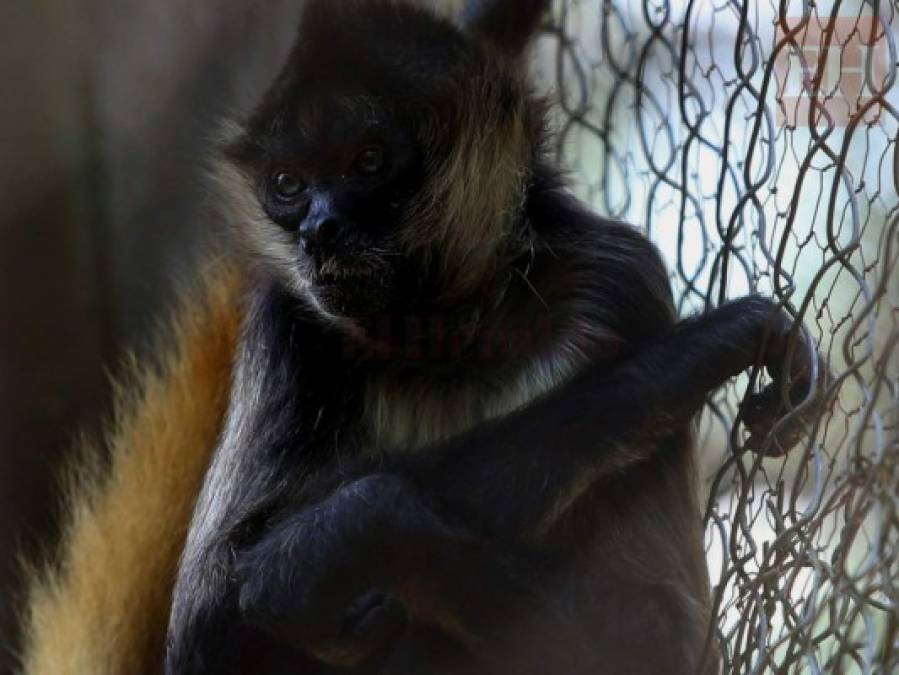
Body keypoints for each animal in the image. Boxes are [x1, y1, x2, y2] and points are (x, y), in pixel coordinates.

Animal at [165, 2, 828, 672]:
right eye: (287, 184)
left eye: (369, 162)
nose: (319, 230)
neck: (445, 336)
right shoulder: (286, 314)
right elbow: (208, 621)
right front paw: (688, 360)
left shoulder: (620, 277)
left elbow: (664, 638)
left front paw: (326, 542)